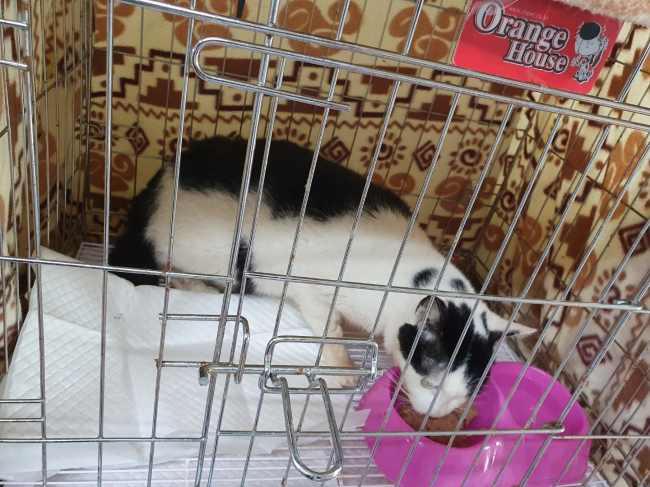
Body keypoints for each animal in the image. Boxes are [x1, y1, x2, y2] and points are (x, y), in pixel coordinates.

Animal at [109, 136, 534, 418]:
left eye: (467, 392)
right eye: (430, 382)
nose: (436, 414)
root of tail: (161, 179)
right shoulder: (307, 285)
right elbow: (330, 326)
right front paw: (342, 367)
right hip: (207, 248)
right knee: (157, 266)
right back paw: (194, 284)